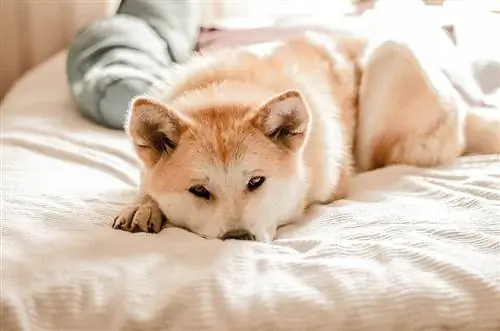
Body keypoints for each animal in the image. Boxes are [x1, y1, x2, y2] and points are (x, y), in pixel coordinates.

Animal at [111, 31, 498, 243]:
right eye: (199, 191)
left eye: (256, 182)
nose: (238, 238)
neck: (225, 87)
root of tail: (466, 110)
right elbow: (145, 186)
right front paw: (142, 206)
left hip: (391, 54)